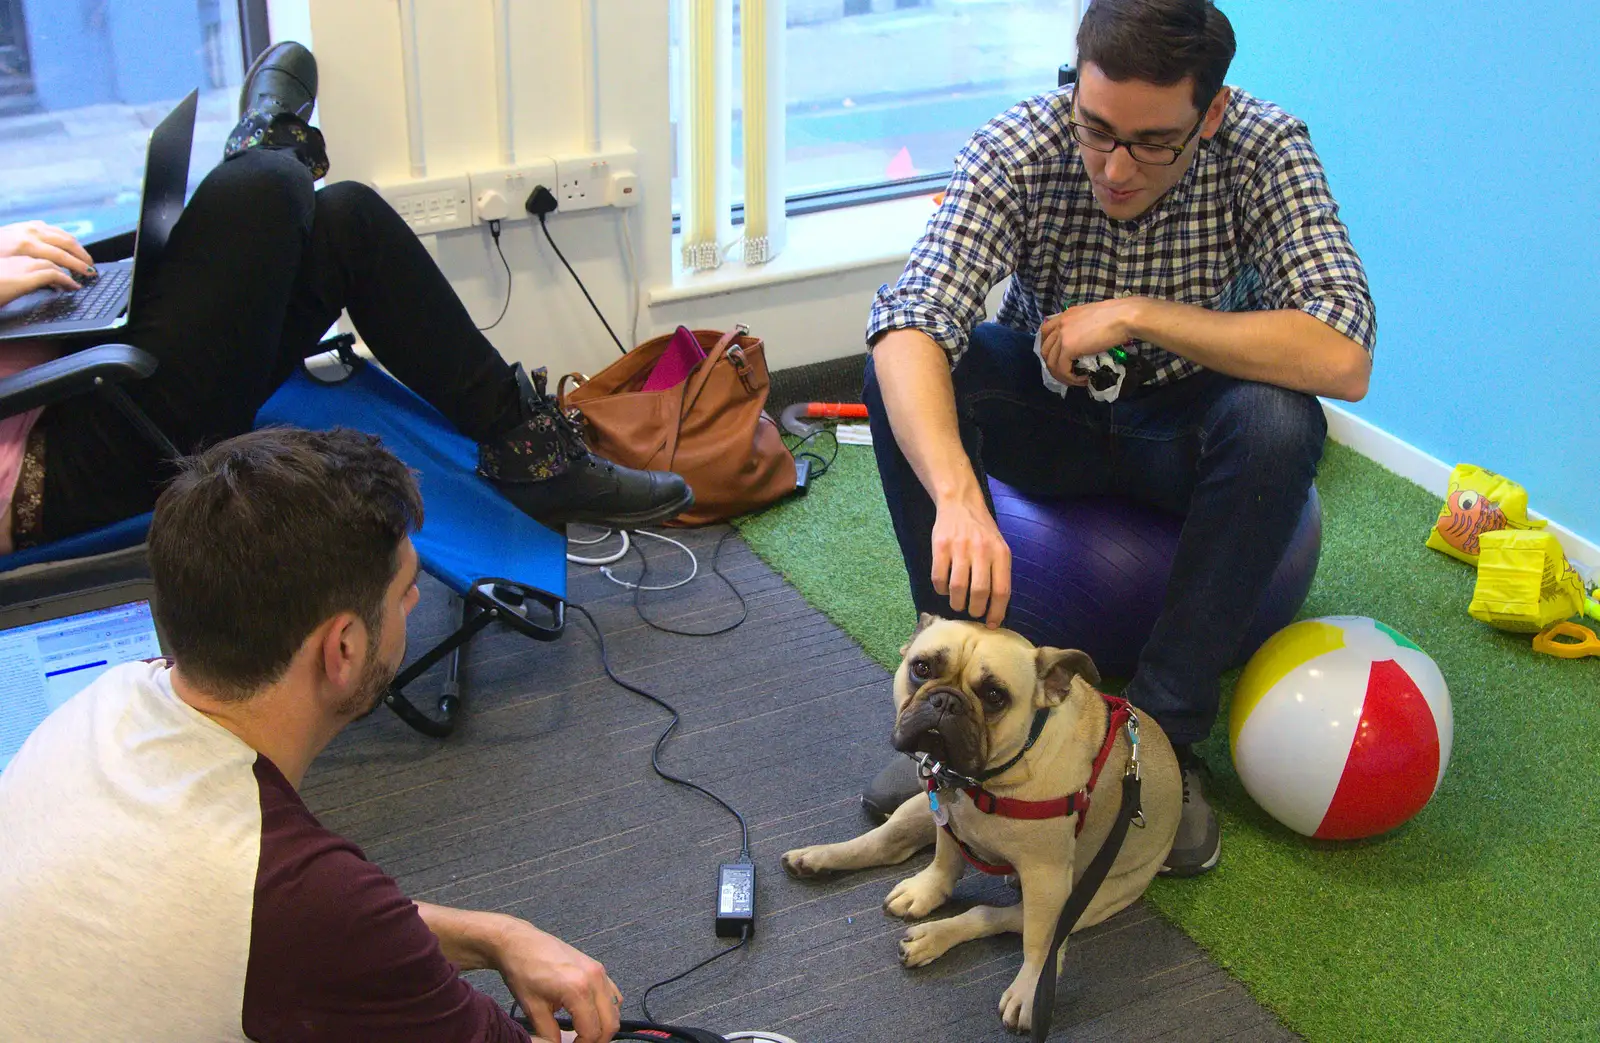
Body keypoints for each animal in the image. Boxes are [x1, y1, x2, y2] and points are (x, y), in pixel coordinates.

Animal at [780, 614, 1184, 1030]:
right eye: (921, 668)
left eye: (994, 696)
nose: (945, 701)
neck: (989, 778)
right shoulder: (944, 813)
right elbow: (943, 862)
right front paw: (928, 890)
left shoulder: (1047, 878)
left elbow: (1040, 943)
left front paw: (1031, 989)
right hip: (916, 808)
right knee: (885, 842)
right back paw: (817, 858)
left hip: (1085, 899)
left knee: (995, 916)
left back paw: (932, 937)